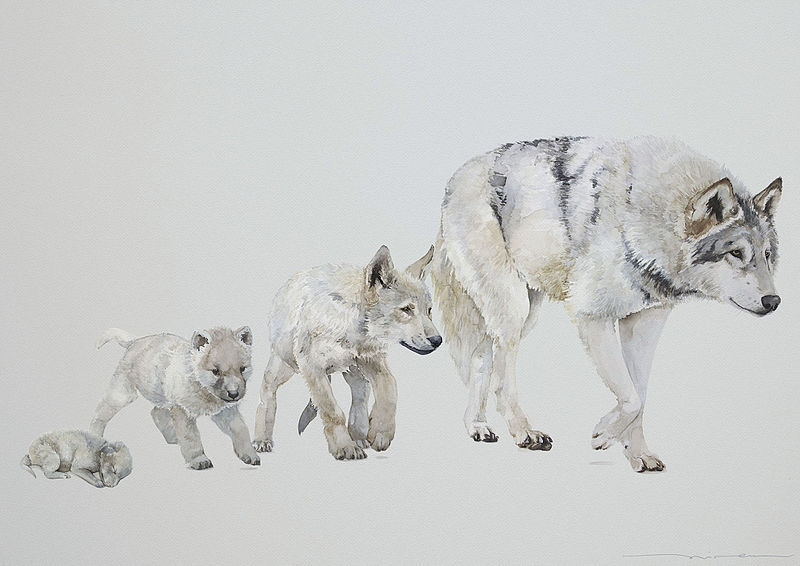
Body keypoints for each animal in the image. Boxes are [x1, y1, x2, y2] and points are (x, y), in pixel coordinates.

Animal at [90, 326, 260, 470]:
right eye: (215, 371)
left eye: (242, 369)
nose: (234, 394)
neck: (201, 386)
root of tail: (135, 341)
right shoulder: (182, 409)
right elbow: (191, 437)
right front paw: (199, 460)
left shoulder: (226, 412)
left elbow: (241, 430)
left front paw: (250, 454)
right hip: (123, 393)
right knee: (100, 413)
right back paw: (94, 437)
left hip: (161, 395)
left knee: (156, 413)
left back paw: (173, 436)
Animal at [252, 245, 441, 460]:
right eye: (406, 309)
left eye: (429, 311)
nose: (438, 341)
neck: (350, 327)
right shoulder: (312, 367)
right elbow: (332, 411)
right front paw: (344, 447)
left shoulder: (371, 359)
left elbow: (390, 388)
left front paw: (380, 432)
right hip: (283, 368)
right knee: (266, 397)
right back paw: (261, 439)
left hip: (354, 372)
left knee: (360, 398)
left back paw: (360, 436)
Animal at [431, 136, 781, 472]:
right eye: (736, 253)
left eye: (766, 256)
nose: (774, 300)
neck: (643, 219)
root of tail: (459, 174)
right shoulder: (592, 316)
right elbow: (630, 398)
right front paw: (603, 434)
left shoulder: (643, 325)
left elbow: (639, 395)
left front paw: (638, 455)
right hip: (513, 308)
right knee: (501, 378)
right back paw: (524, 431)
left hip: (523, 312)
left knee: (481, 358)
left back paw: (477, 426)